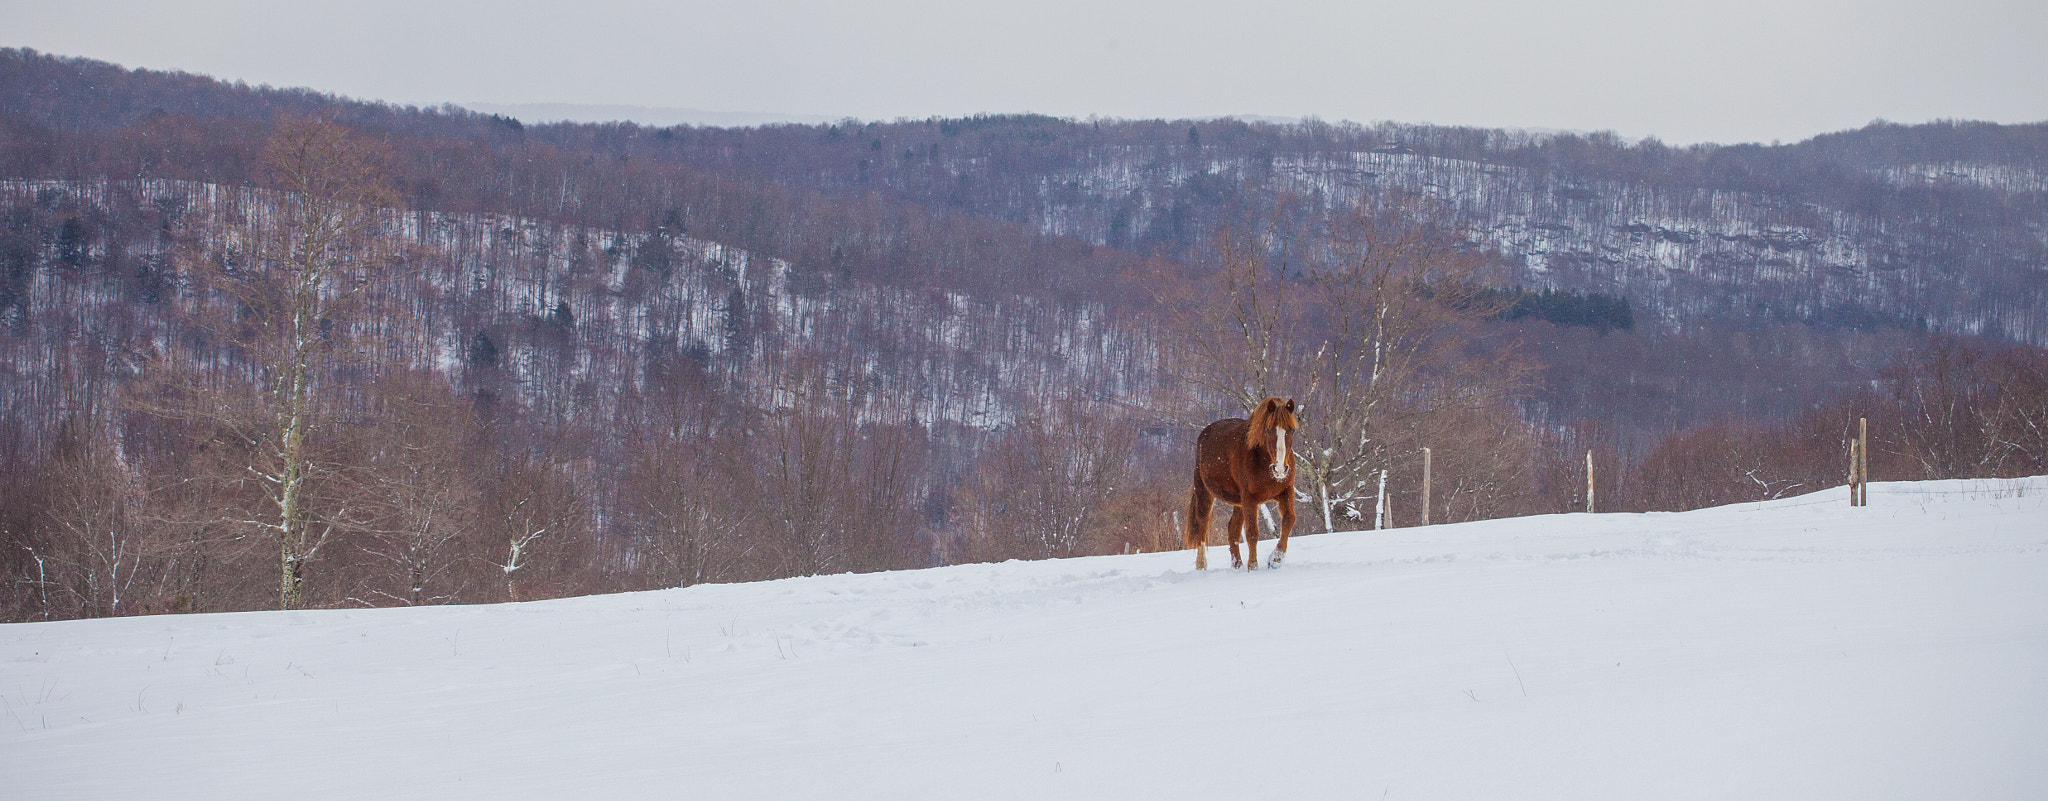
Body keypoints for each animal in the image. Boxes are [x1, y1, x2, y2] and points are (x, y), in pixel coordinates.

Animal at [1187, 397, 1294, 569]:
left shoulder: (1286, 492)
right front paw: (1253, 566)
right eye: (1268, 430)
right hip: (1205, 492)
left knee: (1233, 530)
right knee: (1202, 526)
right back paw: (1202, 565)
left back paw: (1237, 565)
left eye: (1292, 430)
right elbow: (1252, 533)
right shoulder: (1250, 499)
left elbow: (1289, 520)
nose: (1279, 469)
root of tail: (1205, 432)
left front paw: (1276, 559)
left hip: (1239, 503)